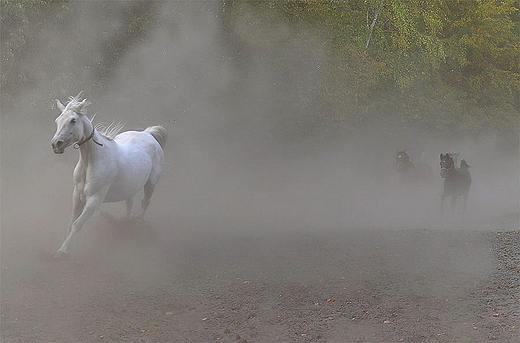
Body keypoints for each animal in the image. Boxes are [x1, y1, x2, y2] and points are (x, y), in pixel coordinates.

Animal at [50, 94, 166, 258]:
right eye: (57, 120)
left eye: (73, 120)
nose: (56, 144)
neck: (92, 161)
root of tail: (148, 133)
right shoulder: (77, 196)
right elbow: (71, 223)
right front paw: (62, 246)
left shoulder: (94, 200)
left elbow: (77, 224)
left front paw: (63, 251)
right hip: (130, 186)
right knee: (129, 202)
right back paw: (126, 221)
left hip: (151, 183)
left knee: (145, 203)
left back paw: (138, 223)